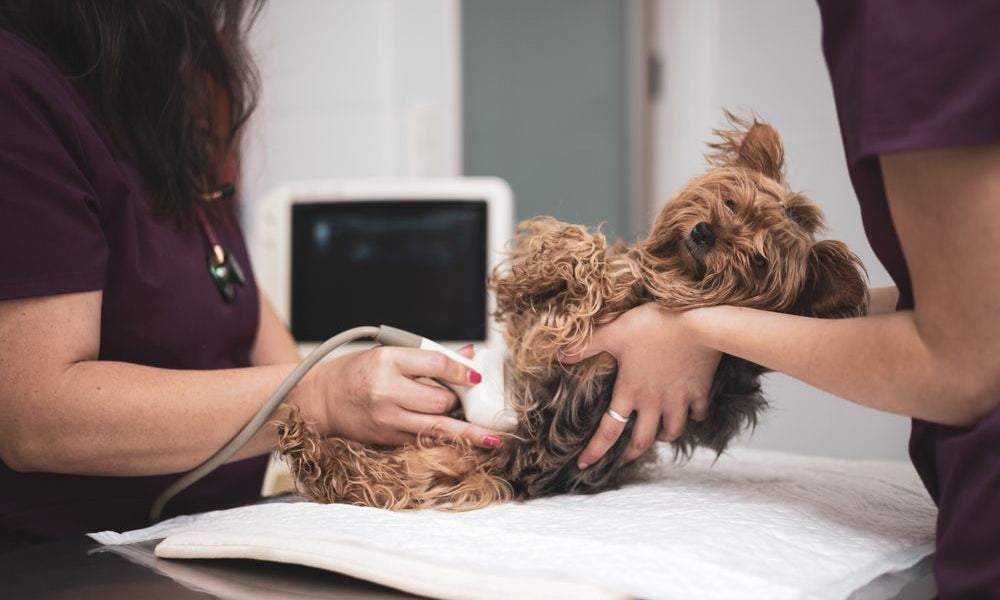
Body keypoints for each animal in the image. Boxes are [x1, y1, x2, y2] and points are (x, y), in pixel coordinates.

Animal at [272, 113, 868, 510]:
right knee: (372, 476)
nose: (705, 232)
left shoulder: (561, 340)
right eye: (729, 203)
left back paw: (303, 443)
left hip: (458, 458)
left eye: (758, 257)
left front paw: (556, 267)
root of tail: (515, 460)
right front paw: (541, 267)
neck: (670, 274)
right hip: (447, 452)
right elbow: (581, 259)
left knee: (369, 483)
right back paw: (303, 438)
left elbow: (587, 268)